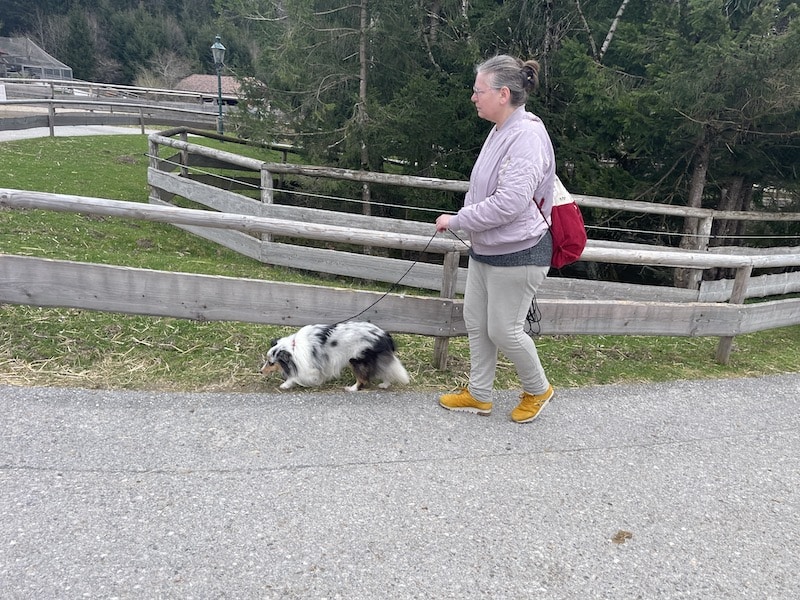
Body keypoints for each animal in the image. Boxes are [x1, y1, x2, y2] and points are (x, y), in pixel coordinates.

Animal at [260, 322, 410, 391]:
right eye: (267, 361)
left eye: (271, 363)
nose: (260, 372)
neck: (293, 347)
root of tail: (385, 336)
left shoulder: (309, 367)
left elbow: (296, 377)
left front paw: (285, 384)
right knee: (385, 370)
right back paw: (385, 384)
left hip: (356, 359)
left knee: (362, 379)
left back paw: (352, 389)